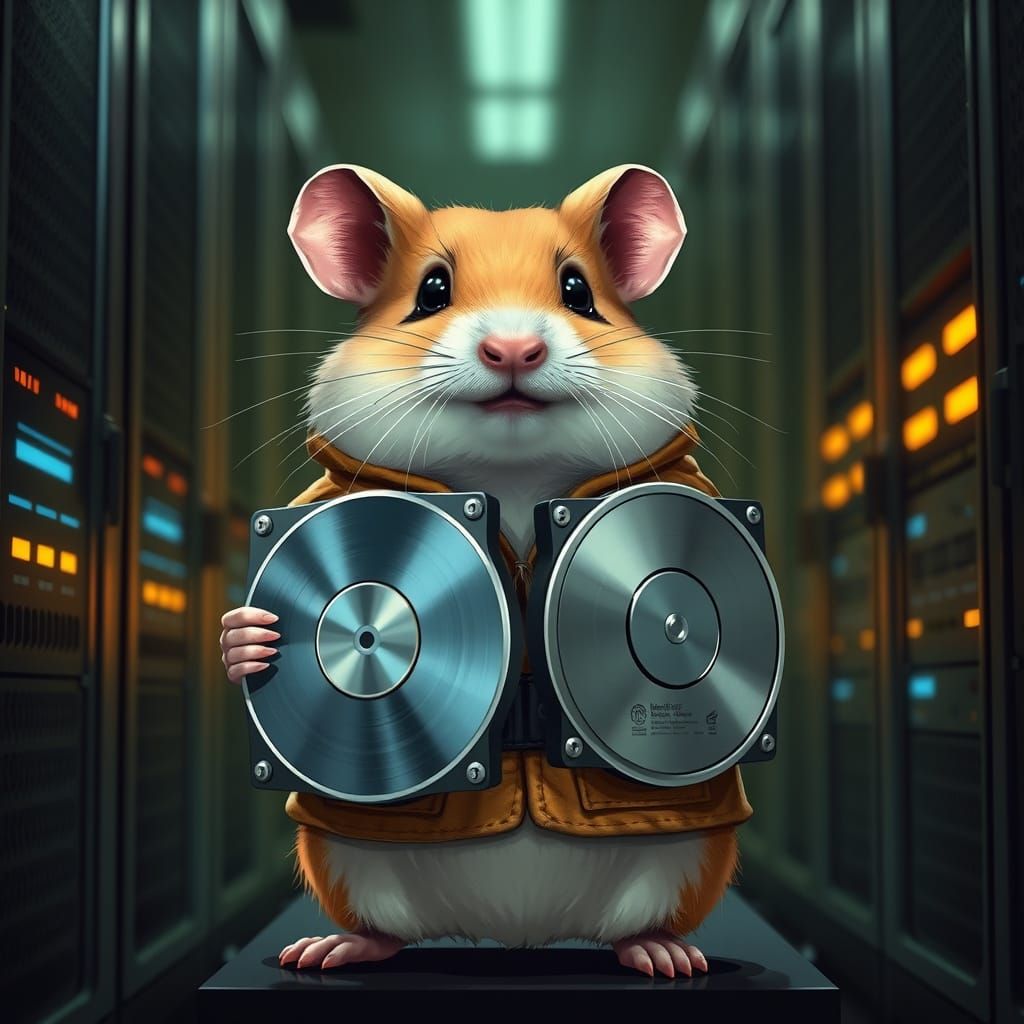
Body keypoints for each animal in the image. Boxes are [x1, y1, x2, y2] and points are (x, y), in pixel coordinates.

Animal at [220, 163, 738, 978]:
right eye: (432, 290)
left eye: (577, 291)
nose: (514, 349)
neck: (512, 480)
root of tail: (519, 934)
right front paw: (250, 637)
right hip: (339, 859)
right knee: (381, 924)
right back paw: (325, 951)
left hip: (691, 861)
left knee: (645, 920)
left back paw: (666, 956)